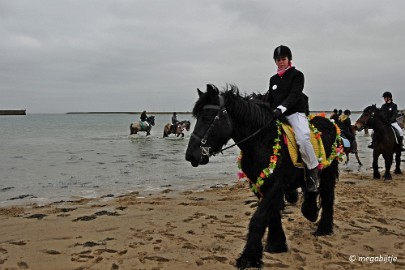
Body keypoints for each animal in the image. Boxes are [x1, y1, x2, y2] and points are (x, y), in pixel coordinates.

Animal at [185, 85, 340, 270]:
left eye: (208, 117)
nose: (190, 156)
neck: (262, 140)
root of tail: (329, 123)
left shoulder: (275, 185)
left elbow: (258, 219)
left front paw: (248, 257)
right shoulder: (259, 185)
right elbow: (271, 215)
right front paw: (276, 244)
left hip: (328, 173)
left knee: (328, 198)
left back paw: (323, 228)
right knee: (310, 188)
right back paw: (311, 212)